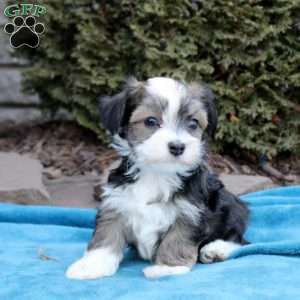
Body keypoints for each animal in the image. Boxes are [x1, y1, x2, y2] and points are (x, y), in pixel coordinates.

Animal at [65, 77, 248, 278]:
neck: (157, 173)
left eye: (193, 123)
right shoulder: (116, 201)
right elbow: (107, 232)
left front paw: (167, 267)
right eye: (150, 121)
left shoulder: (191, 211)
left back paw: (216, 249)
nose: (177, 147)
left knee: (237, 236)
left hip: (232, 206)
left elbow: (177, 238)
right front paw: (92, 265)